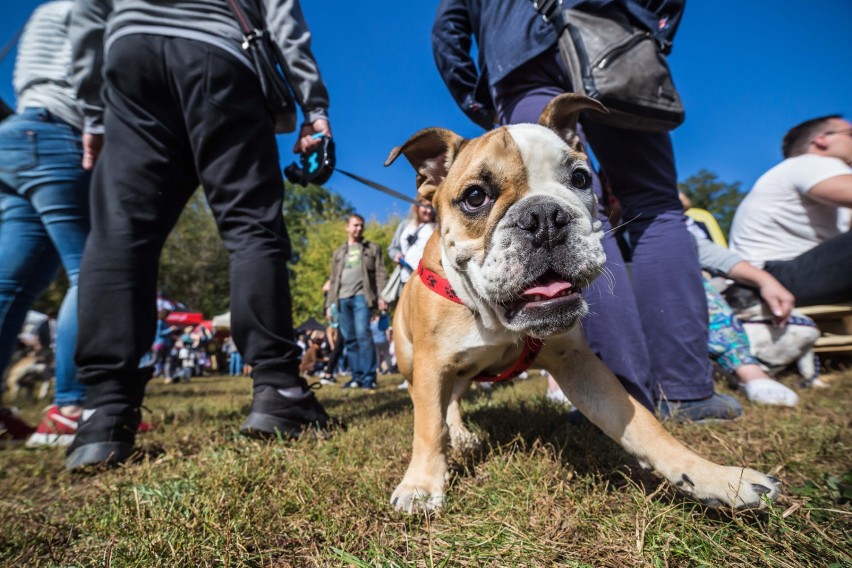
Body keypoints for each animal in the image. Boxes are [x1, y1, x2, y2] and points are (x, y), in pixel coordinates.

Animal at [384, 94, 780, 516]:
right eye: (475, 197)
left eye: (580, 179)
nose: (544, 216)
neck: (496, 321)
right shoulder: (433, 367)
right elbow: (428, 426)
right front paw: (421, 485)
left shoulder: (578, 363)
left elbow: (640, 423)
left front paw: (715, 477)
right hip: (416, 365)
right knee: (435, 409)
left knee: (454, 403)